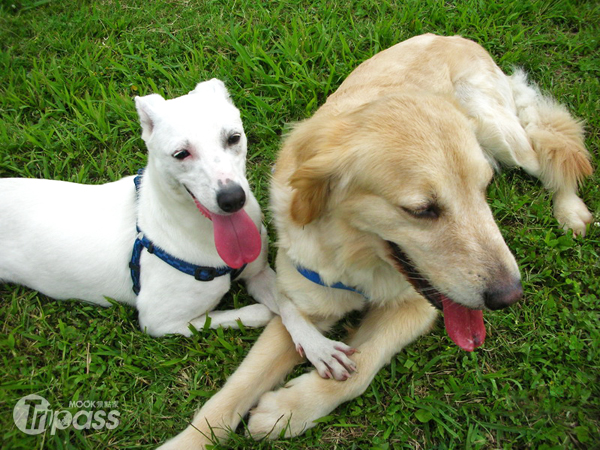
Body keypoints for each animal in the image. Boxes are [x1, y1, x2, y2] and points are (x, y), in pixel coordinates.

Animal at [0, 79, 276, 336]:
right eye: (180, 154)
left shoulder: (260, 273)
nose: (233, 199)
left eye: (233, 138)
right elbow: (257, 313)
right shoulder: (160, 322)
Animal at [161, 33, 596, 448]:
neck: (356, 257)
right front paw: (188, 440)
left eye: (484, 190)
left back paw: (570, 210)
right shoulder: (303, 305)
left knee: (551, 149)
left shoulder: (417, 307)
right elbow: (234, 389)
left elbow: (363, 366)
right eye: (422, 210)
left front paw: (288, 409)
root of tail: (454, 37)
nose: (509, 296)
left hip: (504, 137)